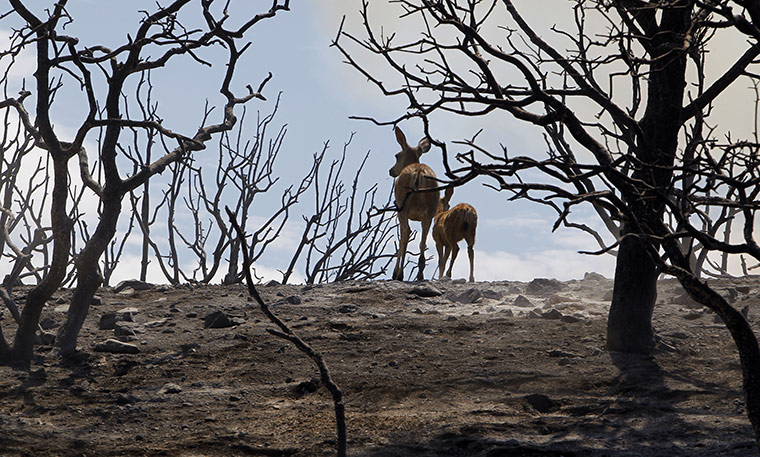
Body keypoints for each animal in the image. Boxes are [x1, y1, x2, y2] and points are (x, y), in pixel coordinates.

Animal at [389, 126, 439, 281]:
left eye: (397, 155)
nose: (391, 171)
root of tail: (418, 172)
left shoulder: (400, 211)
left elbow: (403, 236)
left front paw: (396, 273)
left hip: (402, 207)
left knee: (406, 233)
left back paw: (399, 274)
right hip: (430, 211)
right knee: (423, 240)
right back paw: (420, 274)